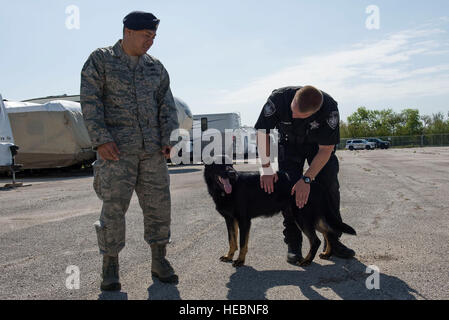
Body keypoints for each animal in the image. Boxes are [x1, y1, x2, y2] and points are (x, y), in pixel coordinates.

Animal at [204, 156, 356, 266]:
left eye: (231, 164)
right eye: (220, 164)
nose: (232, 173)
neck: (226, 190)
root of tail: (314, 184)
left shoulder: (244, 221)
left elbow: (242, 243)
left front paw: (240, 261)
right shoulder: (230, 220)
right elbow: (232, 241)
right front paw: (229, 256)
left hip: (302, 218)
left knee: (316, 240)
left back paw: (306, 261)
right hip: (310, 218)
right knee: (329, 232)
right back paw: (326, 254)